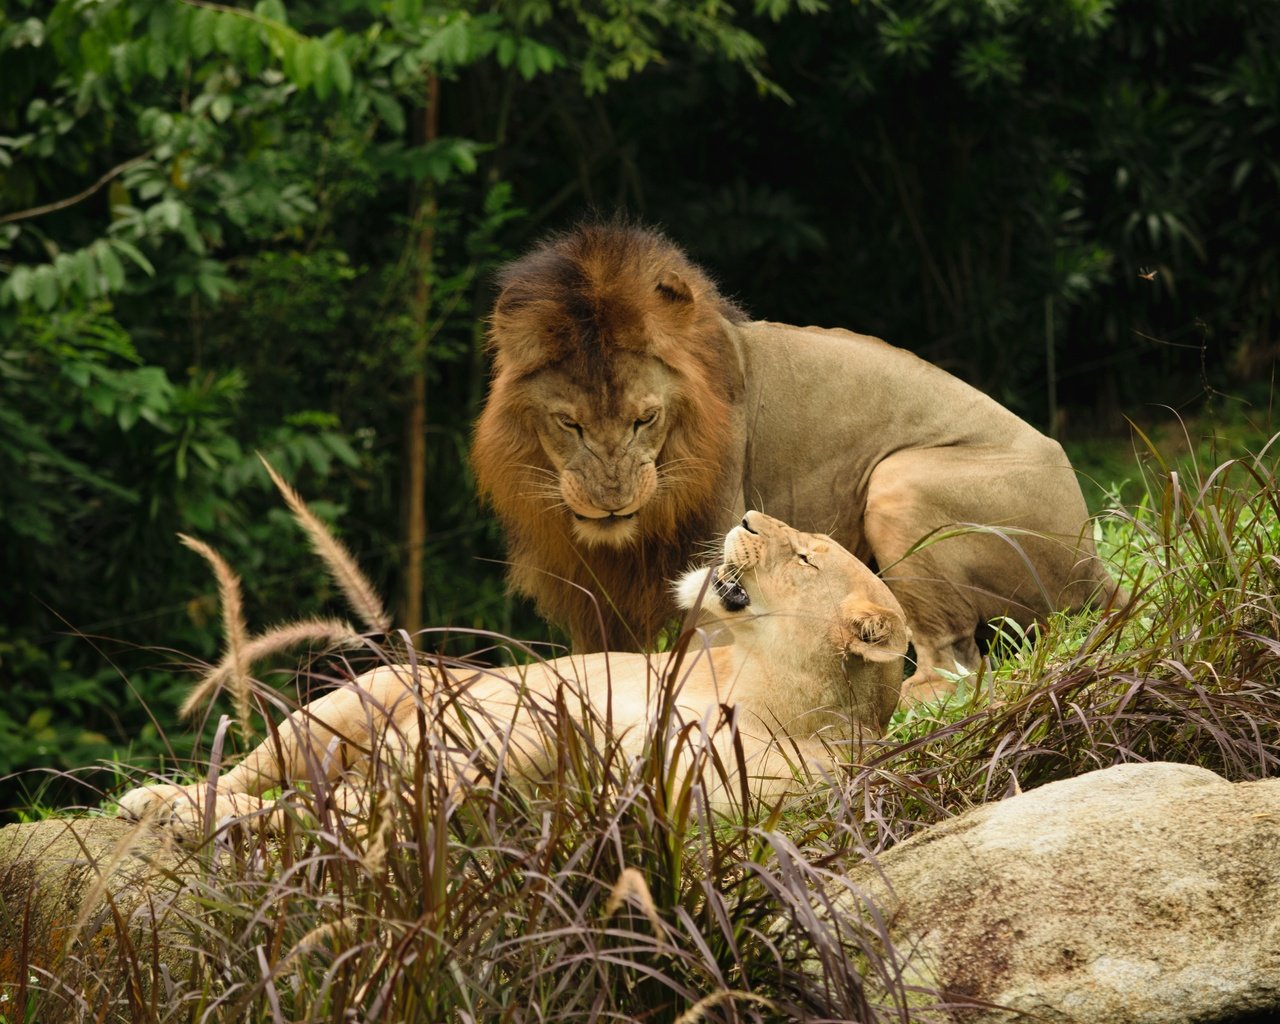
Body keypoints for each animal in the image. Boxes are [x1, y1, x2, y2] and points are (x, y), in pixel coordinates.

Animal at [115, 512, 906, 829]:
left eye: (804, 557)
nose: (743, 518)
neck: (750, 685)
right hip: (343, 704)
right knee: (250, 773)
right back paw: (155, 799)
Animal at [473, 224, 1121, 701]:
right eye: (569, 423)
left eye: (645, 418)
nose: (613, 501)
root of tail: (1096, 563)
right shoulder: (590, 593)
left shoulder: (715, 552)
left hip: (899, 480)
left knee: (956, 664)